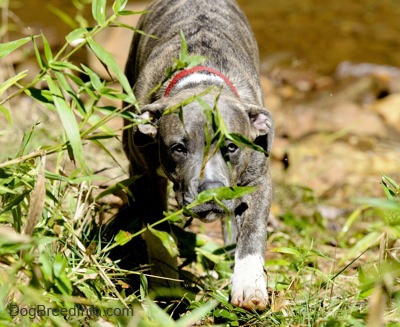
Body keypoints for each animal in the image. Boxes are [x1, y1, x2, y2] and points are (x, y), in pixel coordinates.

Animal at [123, 0, 274, 312]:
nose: (211, 190)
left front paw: (249, 285)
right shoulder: (145, 177)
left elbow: (253, 231)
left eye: (232, 147)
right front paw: (166, 283)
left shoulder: (258, 180)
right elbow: (158, 234)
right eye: (178, 148)